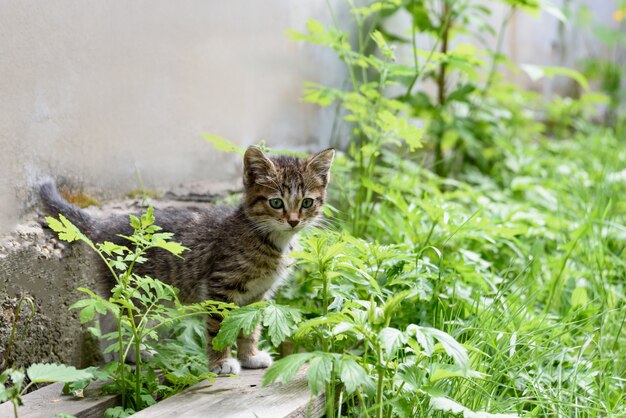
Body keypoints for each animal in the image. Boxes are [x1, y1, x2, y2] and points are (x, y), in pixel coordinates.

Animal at [40, 145, 334, 374]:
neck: (270, 239)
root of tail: (103, 224)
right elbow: (219, 328)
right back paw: (123, 352)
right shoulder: (220, 286)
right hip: (131, 288)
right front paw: (221, 362)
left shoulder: (257, 295)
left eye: (307, 203)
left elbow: (248, 328)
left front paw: (249, 357)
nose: (293, 221)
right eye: (276, 203)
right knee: (115, 317)